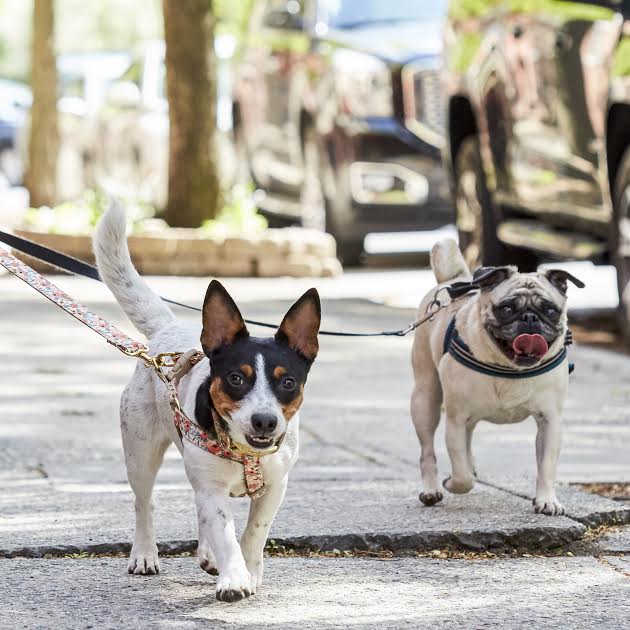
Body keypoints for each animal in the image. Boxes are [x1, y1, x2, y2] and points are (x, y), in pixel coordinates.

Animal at [95, 206, 320, 604]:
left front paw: (249, 570)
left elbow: (254, 533)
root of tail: (165, 332)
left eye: (288, 382)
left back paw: (208, 555)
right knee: (144, 503)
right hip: (140, 452)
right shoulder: (211, 487)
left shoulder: (275, 487)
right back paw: (145, 553)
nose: (265, 421)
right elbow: (225, 532)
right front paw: (235, 577)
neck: (246, 454)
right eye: (236, 378)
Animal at [412, 239, 584, 516]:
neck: (509, 367)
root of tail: (454, 279)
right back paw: (431, 489)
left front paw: (547, 500)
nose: (530, 318)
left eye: (550, 310)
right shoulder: (456, 419)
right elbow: (461, 474)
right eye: (506, 308)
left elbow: (546, 466)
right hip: (424, 399)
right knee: (428, 450)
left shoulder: (550, 420)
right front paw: (453, 482)